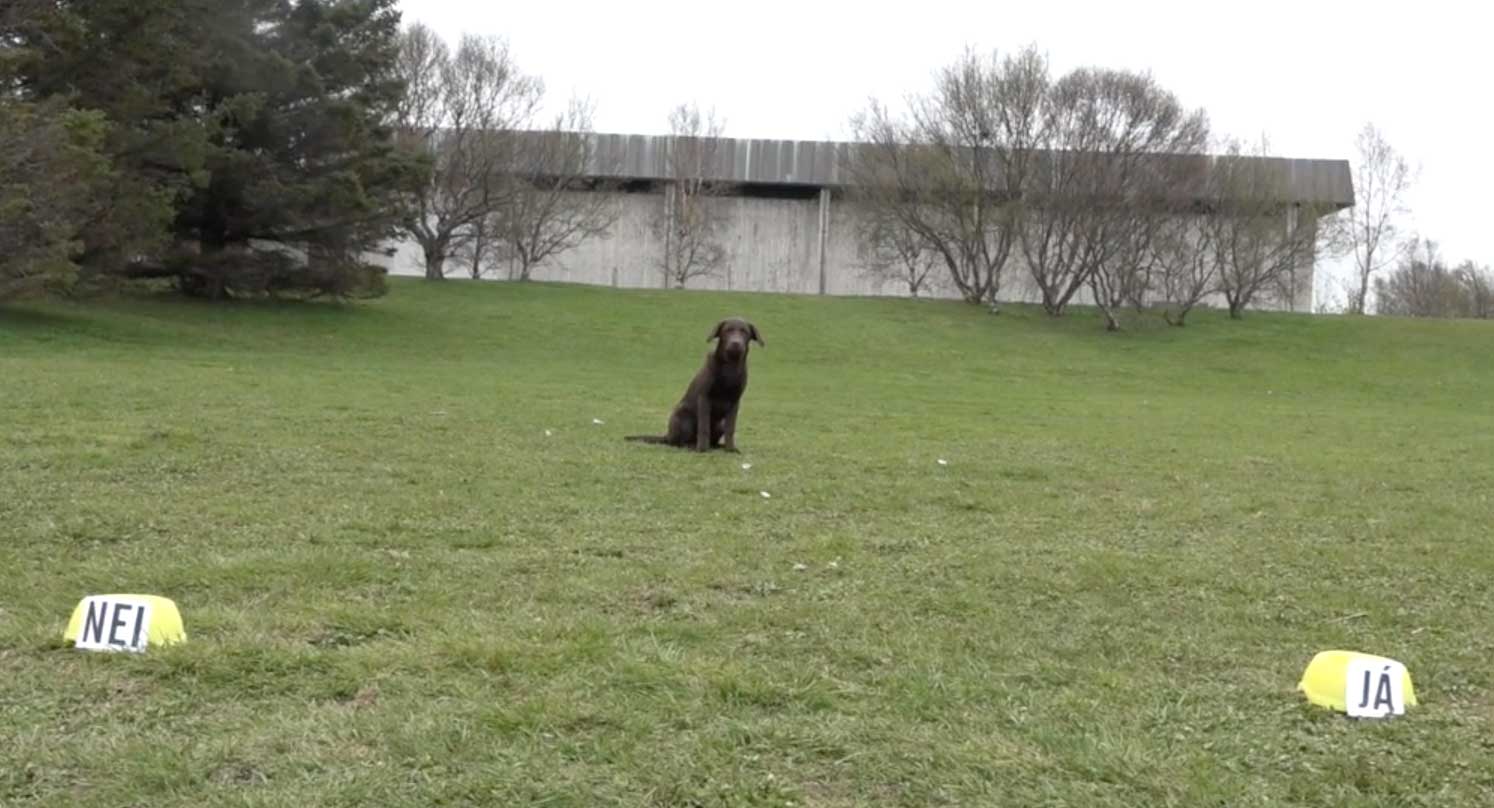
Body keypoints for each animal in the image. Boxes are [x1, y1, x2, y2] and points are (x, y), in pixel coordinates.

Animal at [624, 316, 764, 454]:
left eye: (744, 332)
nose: (735, 343)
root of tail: (667, 436)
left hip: (720, 424)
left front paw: (730, 449)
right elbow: (704, 427)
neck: (730, 366)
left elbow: (730, 428)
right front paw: (702, 449)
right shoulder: (704, 398)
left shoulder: (735, 401)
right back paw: (693, 446)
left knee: (714, 440)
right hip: (683, 417)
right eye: (727, 330)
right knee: (680, 443)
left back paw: (719, 446)